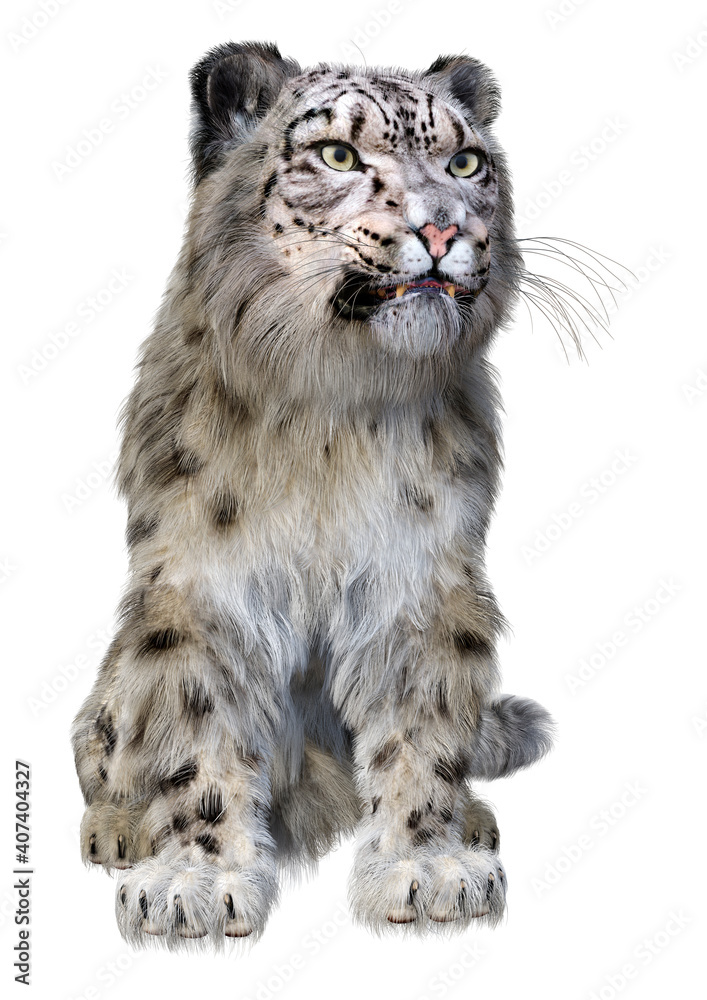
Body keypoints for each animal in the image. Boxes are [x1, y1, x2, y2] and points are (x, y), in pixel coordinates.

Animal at [71, 40, 564, 949]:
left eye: (465, 161)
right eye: (337, 154)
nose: (444, 228)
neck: (335, 411)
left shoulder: (422, 574)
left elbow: (422, 724)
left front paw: (430, 866)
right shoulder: (204, 581)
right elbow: (197, 724)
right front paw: (192, 881)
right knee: (103, 741)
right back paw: (119, 826)